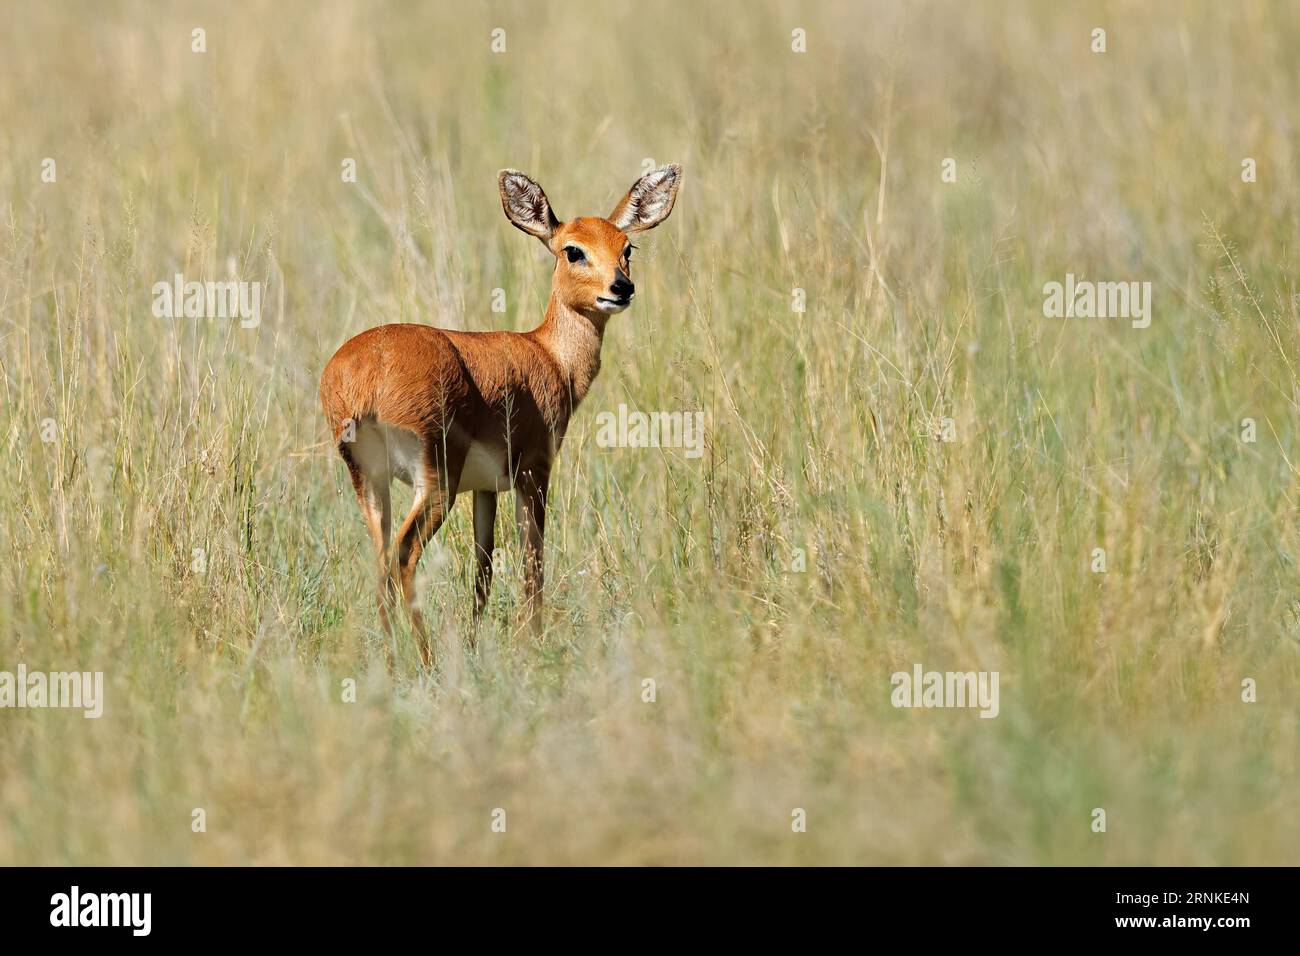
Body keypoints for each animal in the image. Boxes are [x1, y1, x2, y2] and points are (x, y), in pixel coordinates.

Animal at [317, 164, 681, 660]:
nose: (620, 289)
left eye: (627, 247)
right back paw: (427, 659)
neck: (548, 354)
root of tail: (362, 373)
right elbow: (533, 560)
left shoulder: (485, 488)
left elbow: (483, 569)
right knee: (404, 557)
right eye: (573, 249)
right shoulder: (533, 471)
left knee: (380, 563)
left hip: (370, 480)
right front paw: (533, 642)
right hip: (435, 482)